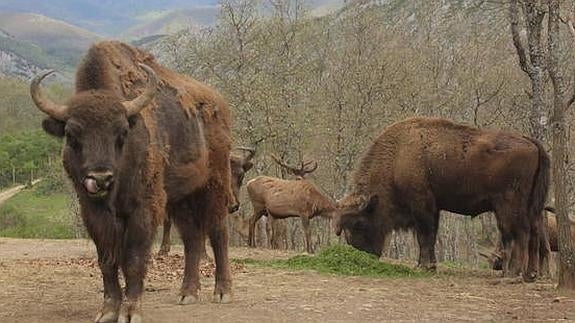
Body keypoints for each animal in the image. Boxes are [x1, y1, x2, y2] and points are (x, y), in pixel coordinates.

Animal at [30, 41, 234, 322]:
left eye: (123, 132)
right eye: (71, 135)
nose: (100, 178)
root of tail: (219, 104)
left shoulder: (143, 209)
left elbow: (134, 260)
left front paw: (131, 312)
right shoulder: (93, 212)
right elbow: (107, 260)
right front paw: (108, 311)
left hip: (214, 185)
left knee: (218, 232)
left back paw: (222, 292)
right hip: (181, 198)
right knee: (192, 239)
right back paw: (187, 294)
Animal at [336, 117, 552, 282]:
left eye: (359, 223)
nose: (362, 254)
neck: (398, 156)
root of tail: (531, 142)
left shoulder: (422, 206)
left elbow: (425, 235)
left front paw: (424, 266)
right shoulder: (434, 208)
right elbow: (429, 237)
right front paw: (426, 265)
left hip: (508, 206)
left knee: (520, 233)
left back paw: (512, 274)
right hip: (532, 207)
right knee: (533, 234)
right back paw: (530, 275)